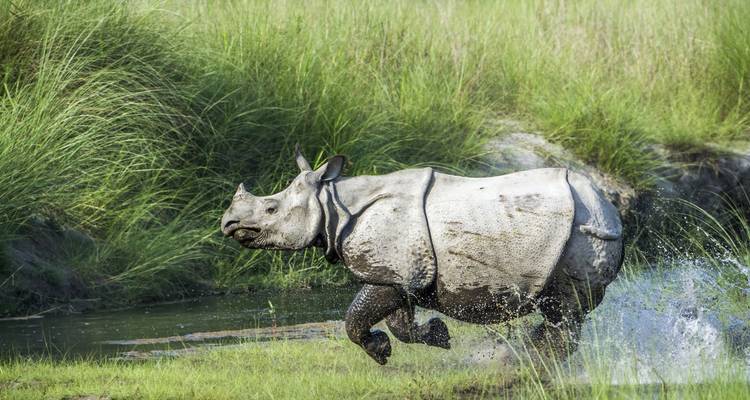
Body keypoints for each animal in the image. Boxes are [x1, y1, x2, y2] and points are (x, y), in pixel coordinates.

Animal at [221, 148, 623, 364]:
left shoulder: (393, 271)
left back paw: (528, 362)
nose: (228, 223)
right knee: (559, 311)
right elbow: (399, 323)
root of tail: (608, 204)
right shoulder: (399, 273)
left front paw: (382, 350)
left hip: (581, 232)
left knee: (564, 306)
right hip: (571, 229)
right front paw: (434, 337)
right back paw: (524, 356)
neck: (333, 202)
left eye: (270, 209)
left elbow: (354, 317)